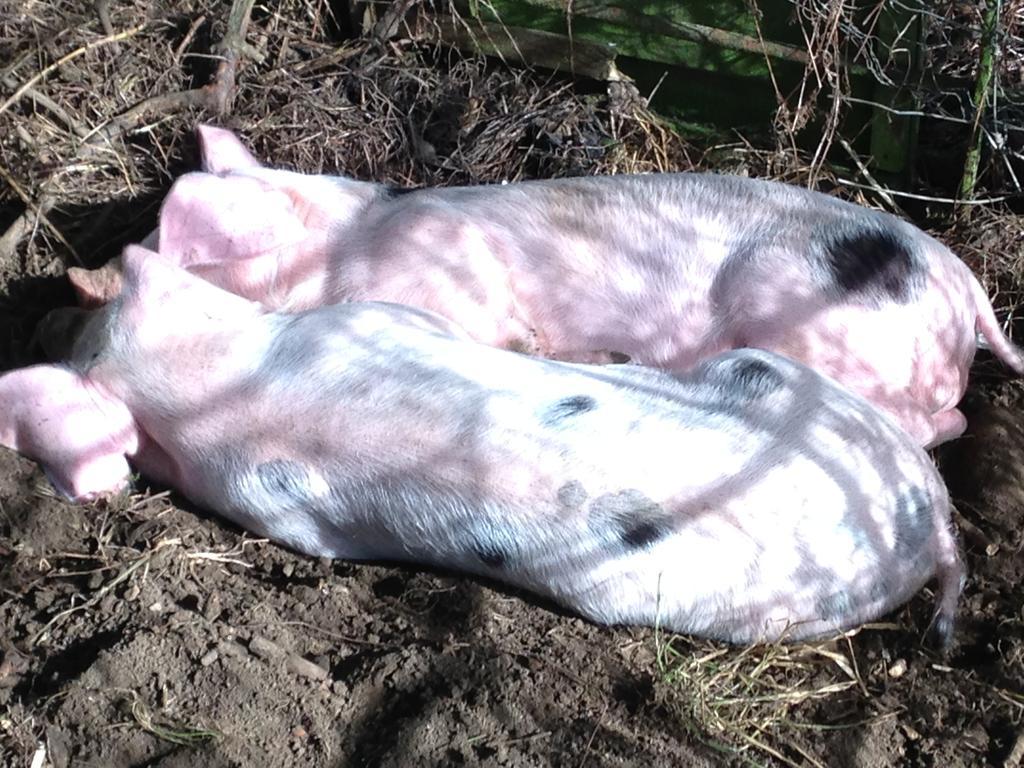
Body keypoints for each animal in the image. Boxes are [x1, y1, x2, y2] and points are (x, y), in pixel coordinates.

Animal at [70, 126, 1024, 450]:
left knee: (943, 423)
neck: (344, 248)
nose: (75, 284)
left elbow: (500, 336)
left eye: (174, 249)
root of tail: (962, 286)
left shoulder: (445, 279)